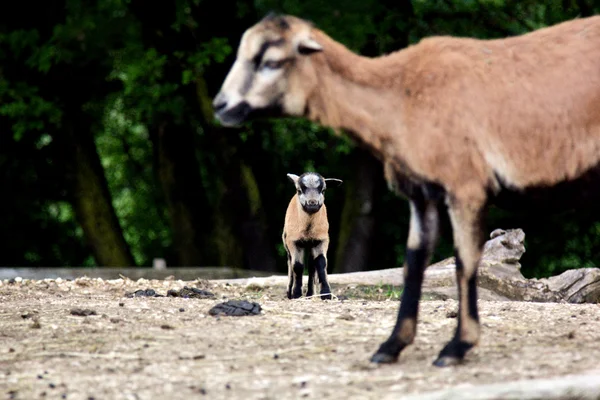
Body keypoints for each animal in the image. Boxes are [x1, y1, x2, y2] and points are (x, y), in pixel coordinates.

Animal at [282, 172, 342, 300]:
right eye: (299, 190)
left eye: (323, 190)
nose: (312, 203)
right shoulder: (293, 241)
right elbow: (297, 266)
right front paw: (296, 294)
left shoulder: (321, 240)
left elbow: (321, 263)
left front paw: (326, 294)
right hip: (286, 242)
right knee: (290, 263)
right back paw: (289, 292)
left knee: (311, 266)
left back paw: (310, 294)